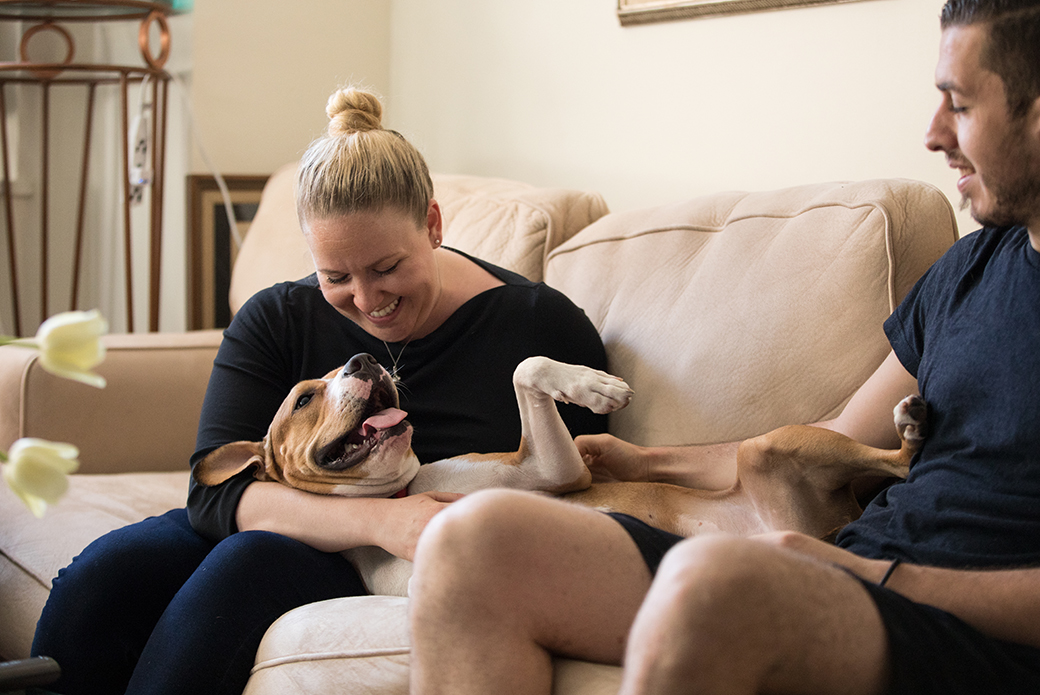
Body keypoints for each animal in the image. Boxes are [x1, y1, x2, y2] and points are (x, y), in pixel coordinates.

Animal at [191, 355, 923, 595]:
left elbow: (527, 366)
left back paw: (913, 422)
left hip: (772, 445)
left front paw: (594, 386)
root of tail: (827, 528)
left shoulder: (553, 468)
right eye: (303, 398)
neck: (402, 485)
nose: (364, 358)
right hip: (771, 459)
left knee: (899, 462)